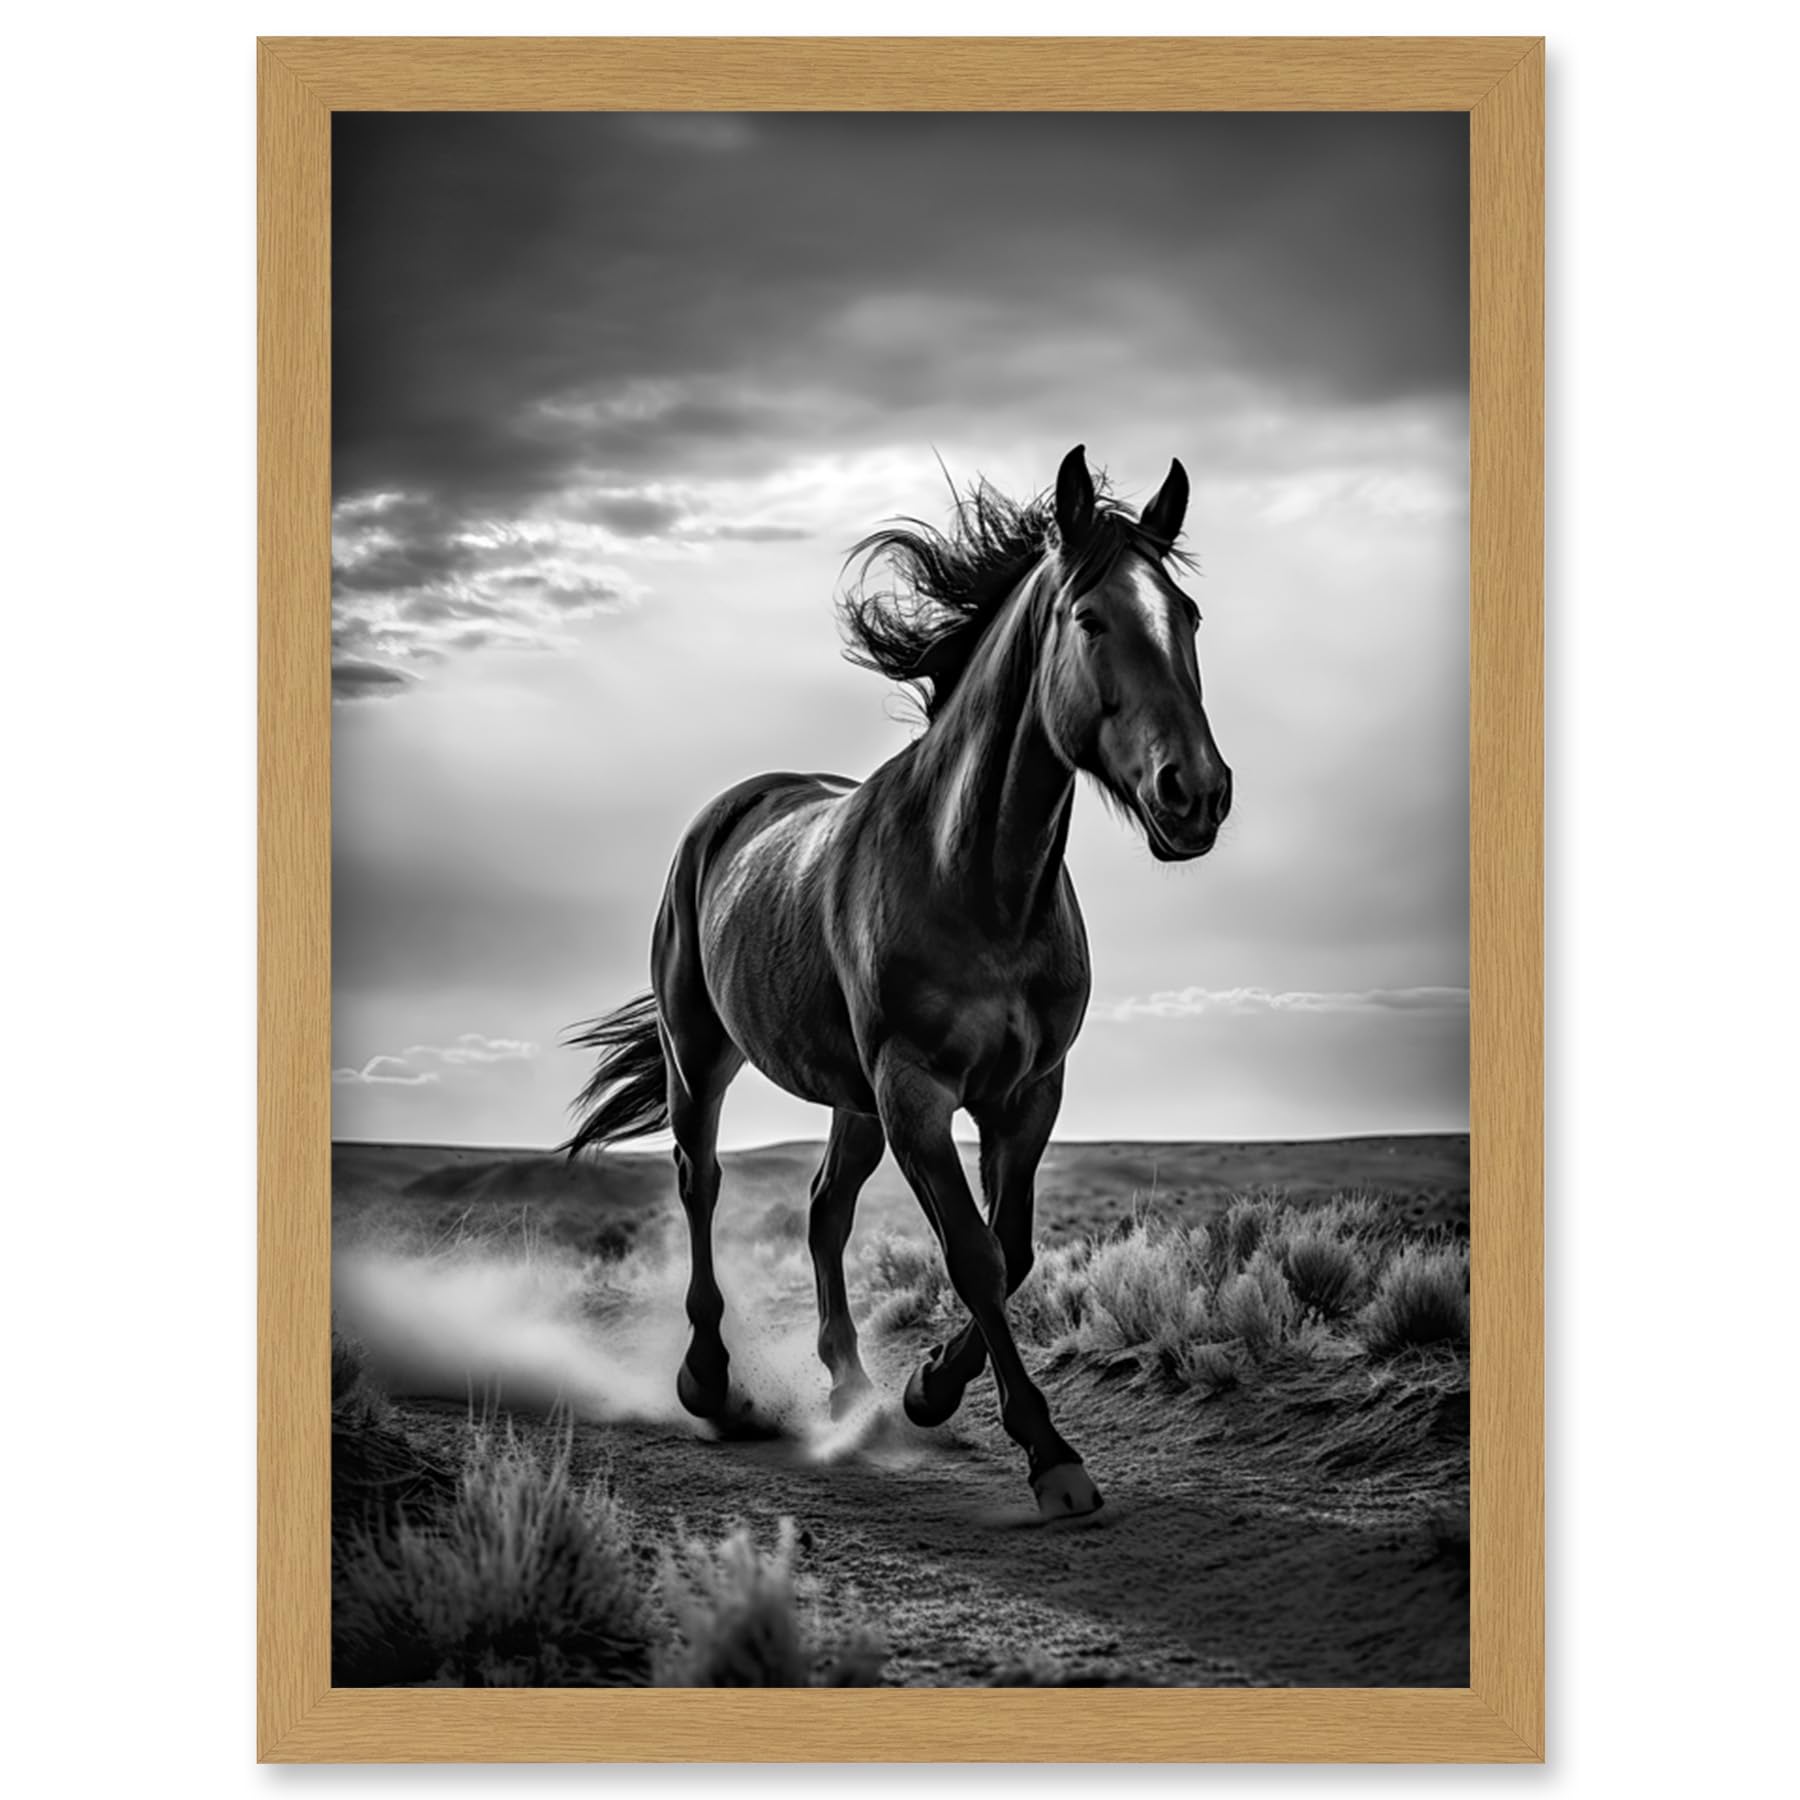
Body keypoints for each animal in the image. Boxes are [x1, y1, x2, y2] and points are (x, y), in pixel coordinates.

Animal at [565, 445, 1231, 1518]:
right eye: (1092, 619)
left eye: (1190, 617)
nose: (1197, 795)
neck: (980, 883)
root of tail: (726, 812)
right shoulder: (916, 1090)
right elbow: (973, 1255)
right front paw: (1048, 1452)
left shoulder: (1026, 1095)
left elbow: (1014, 1250)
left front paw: (927, 1389)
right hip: (702, 1056)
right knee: (701, 1182)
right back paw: (709, 1381)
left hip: (850, 1099)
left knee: (824, 1210)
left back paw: (853, 1391)